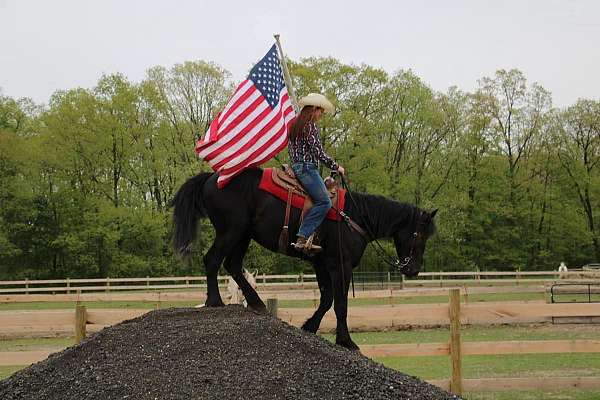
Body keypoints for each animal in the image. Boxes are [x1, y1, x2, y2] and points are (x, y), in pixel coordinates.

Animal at [171, 169, 438, 350]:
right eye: (420, 234)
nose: (413, 269)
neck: (353, 216)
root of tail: (212, 177)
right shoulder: (340, 266)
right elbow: (340, 304)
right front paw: (346, 341)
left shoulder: (321, 264)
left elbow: (326, 299)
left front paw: (310, 326)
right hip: (231, 231)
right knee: (212, 260)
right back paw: (214, 301)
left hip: (242, 235)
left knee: (232, 265)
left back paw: (256, 303)